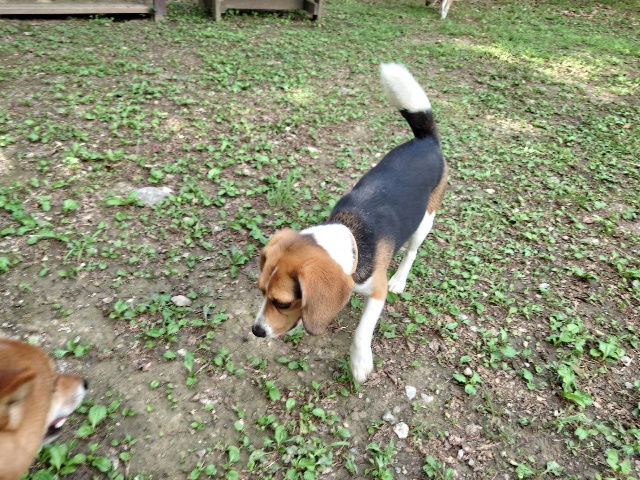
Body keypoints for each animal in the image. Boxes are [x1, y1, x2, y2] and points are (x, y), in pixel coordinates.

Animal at [252, 63, 447, 383]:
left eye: (282, 303)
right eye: (261, 292)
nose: (257, 331)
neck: (351, 238)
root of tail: (426, 140)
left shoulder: (376, 289)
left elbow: (362, 331)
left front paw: (359, 362)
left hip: (425, 221)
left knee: (412, 251)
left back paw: (400, 278)